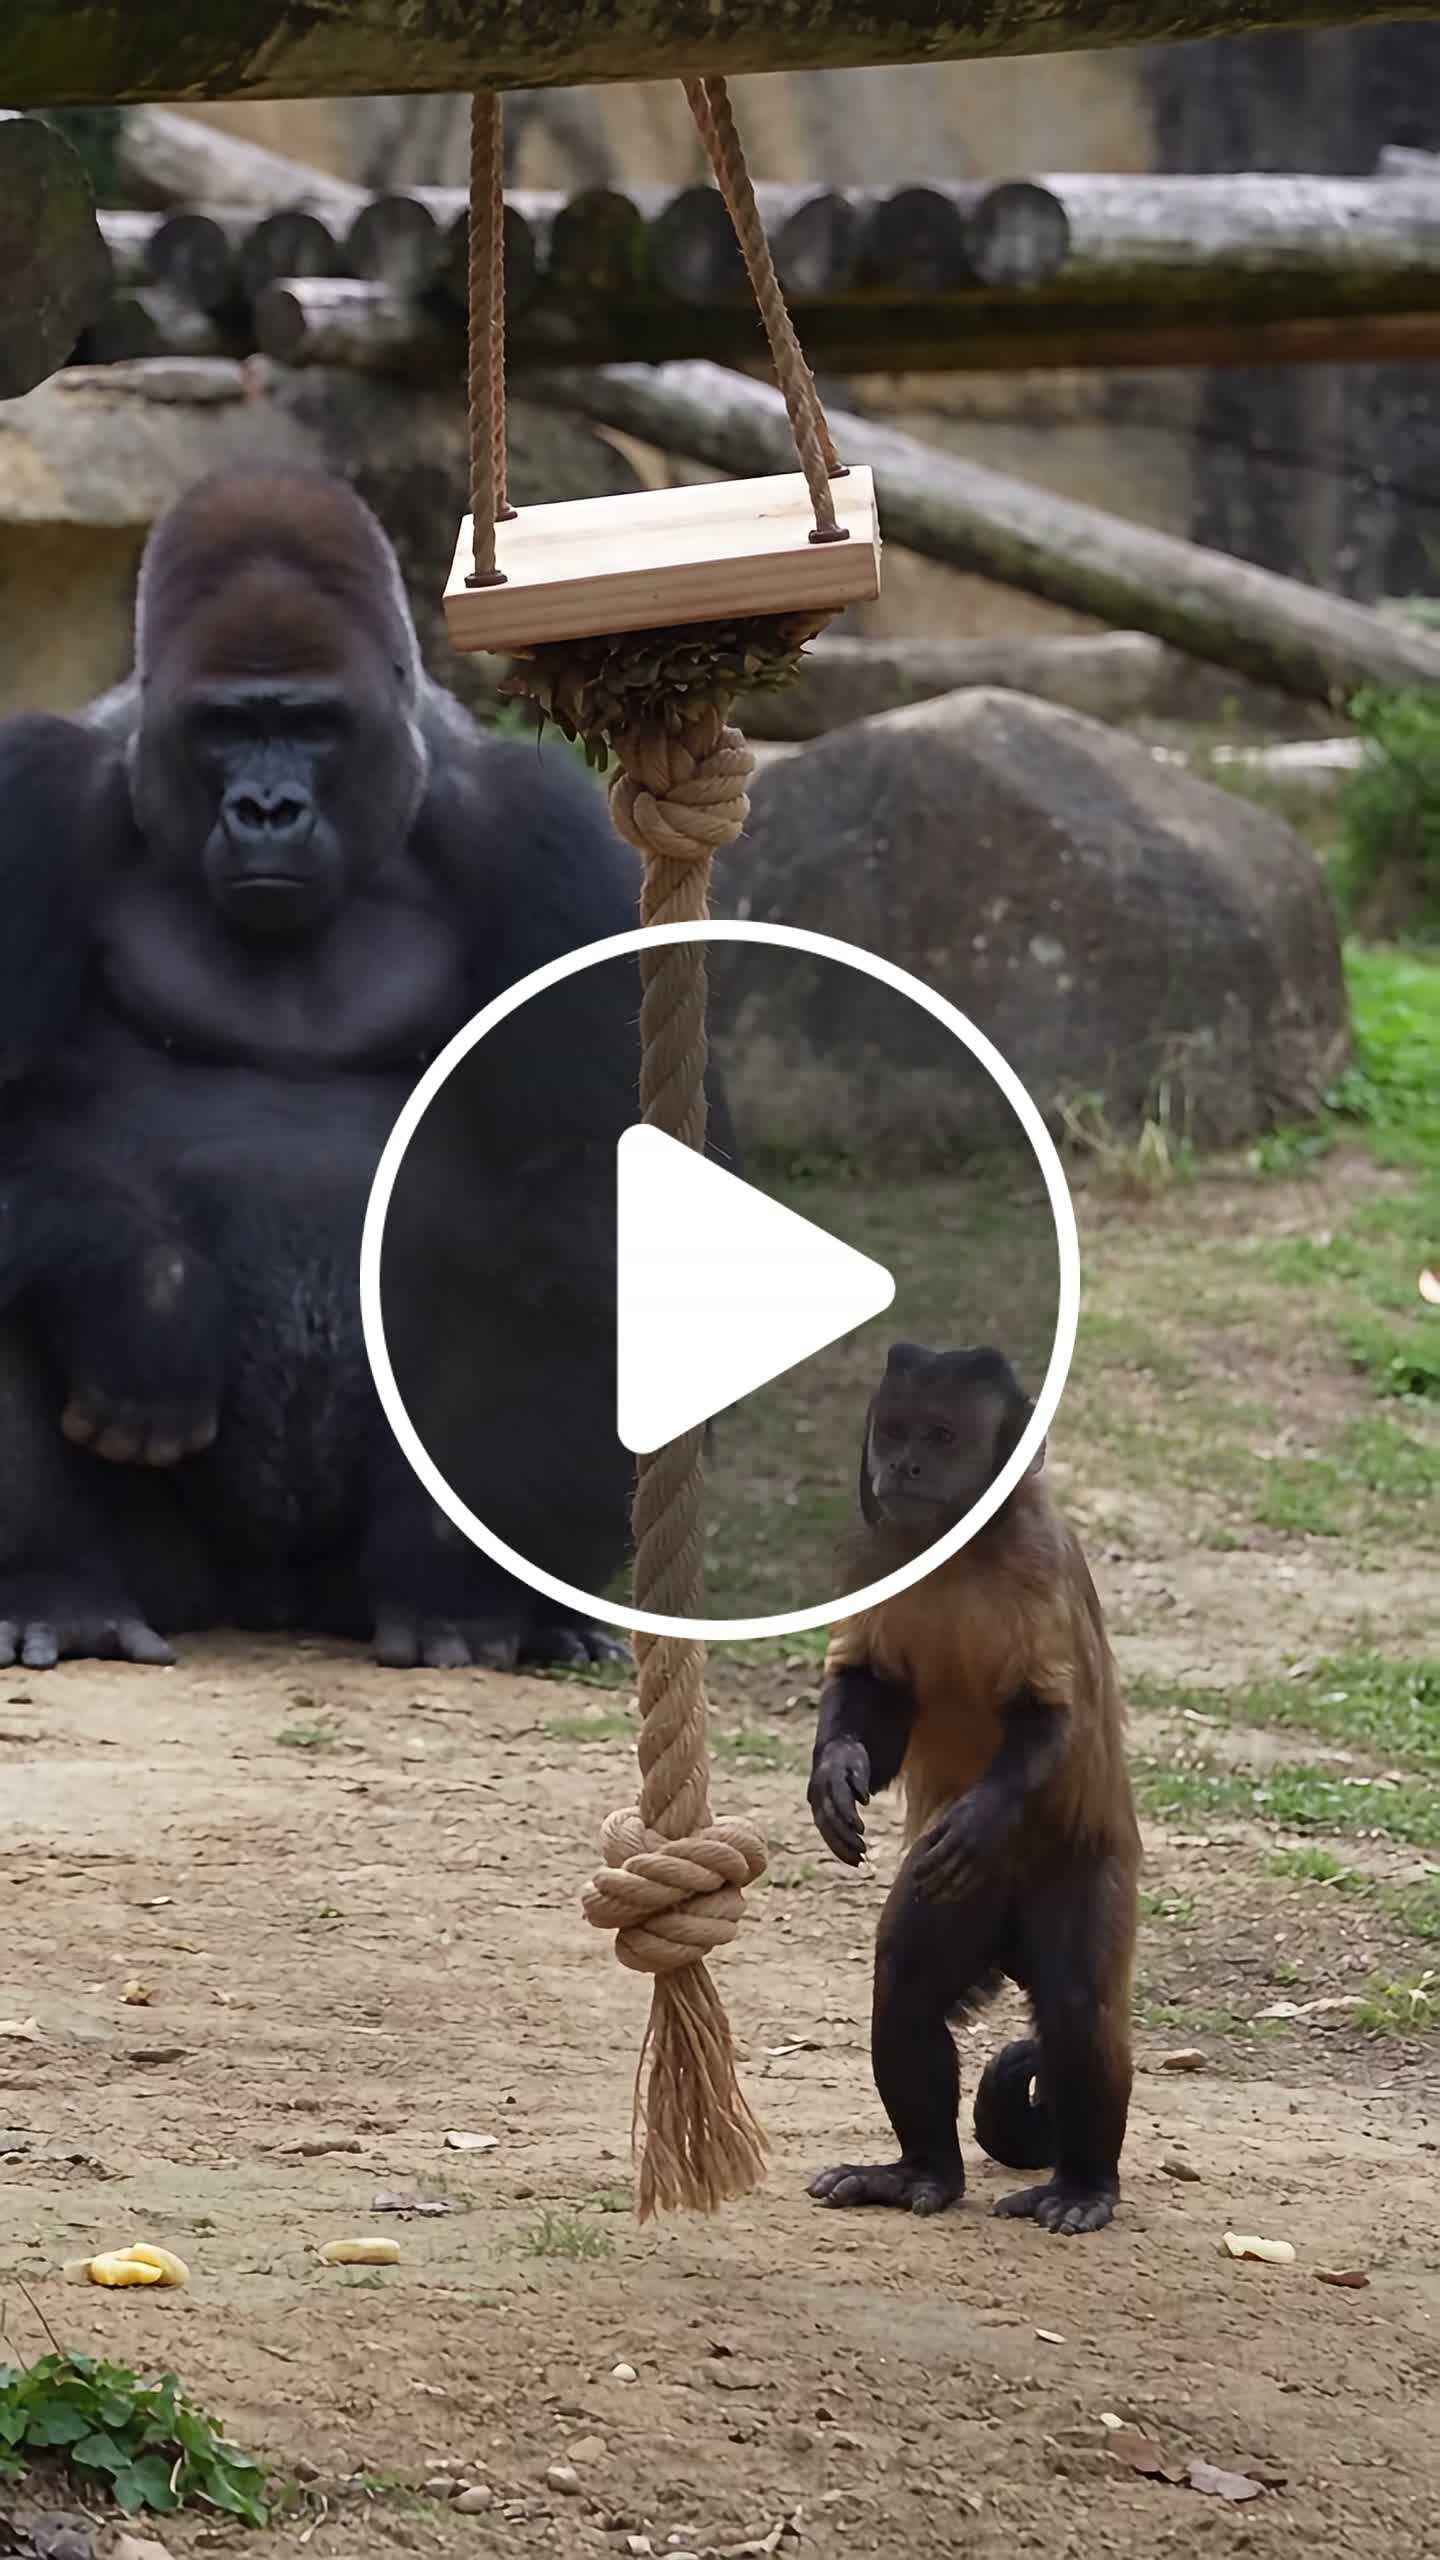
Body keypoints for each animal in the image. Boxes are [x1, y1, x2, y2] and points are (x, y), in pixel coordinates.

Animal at [805, 1341, 1141, 2236]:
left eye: (944, 1435)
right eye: (894, 1431)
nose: (905, 1465)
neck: (962, 1550)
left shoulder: (1036, 1564)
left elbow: (1051, 1722)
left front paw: (982, 1813)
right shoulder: (876, 1553)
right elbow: (873, 1691)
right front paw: (834, 1774)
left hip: (1079, 1868)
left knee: (1075, 2003)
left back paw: (1082, 2185)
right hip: (966, 1904)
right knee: (909, 1980)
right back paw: (920, 2171)